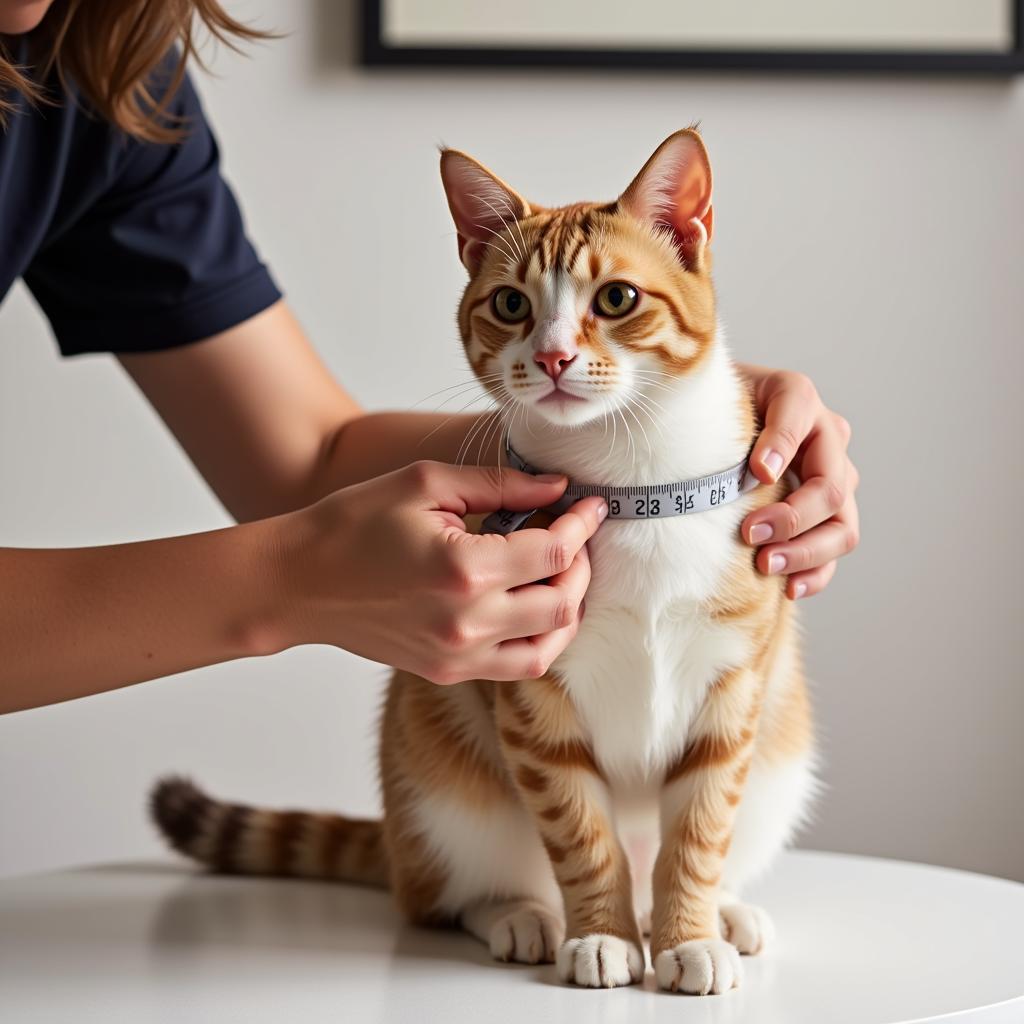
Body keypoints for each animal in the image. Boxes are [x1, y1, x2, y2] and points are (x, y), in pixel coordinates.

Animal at [151, 128, 819, 991]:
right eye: (511, 304)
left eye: (617, 300)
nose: (556, 357)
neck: (626, 480)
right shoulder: (531, 700)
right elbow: (582, 833)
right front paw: (601, 935)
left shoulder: (732, 693)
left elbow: (698, 834)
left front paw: (686, 936)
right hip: (441, 786)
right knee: (445, 890)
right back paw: (522, 916)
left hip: (777, 754)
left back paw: (721, 914)